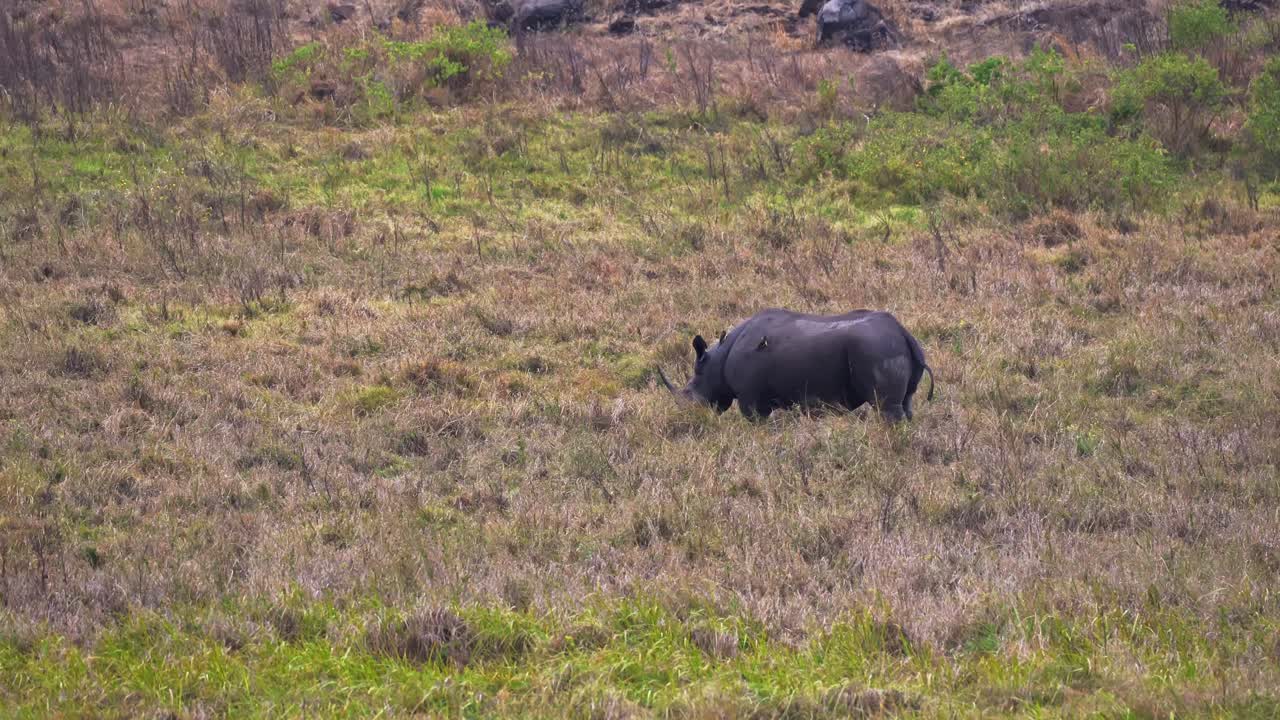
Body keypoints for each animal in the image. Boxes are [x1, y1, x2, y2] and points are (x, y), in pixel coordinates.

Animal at [658, 308, 934, 422]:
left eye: (690, 393)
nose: (688, 414)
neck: (717, 360)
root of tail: (903, 333)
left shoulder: (750, 396)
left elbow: (754, 419)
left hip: (877, 348)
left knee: (886, 407)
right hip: (890, 347)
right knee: (906, 403)